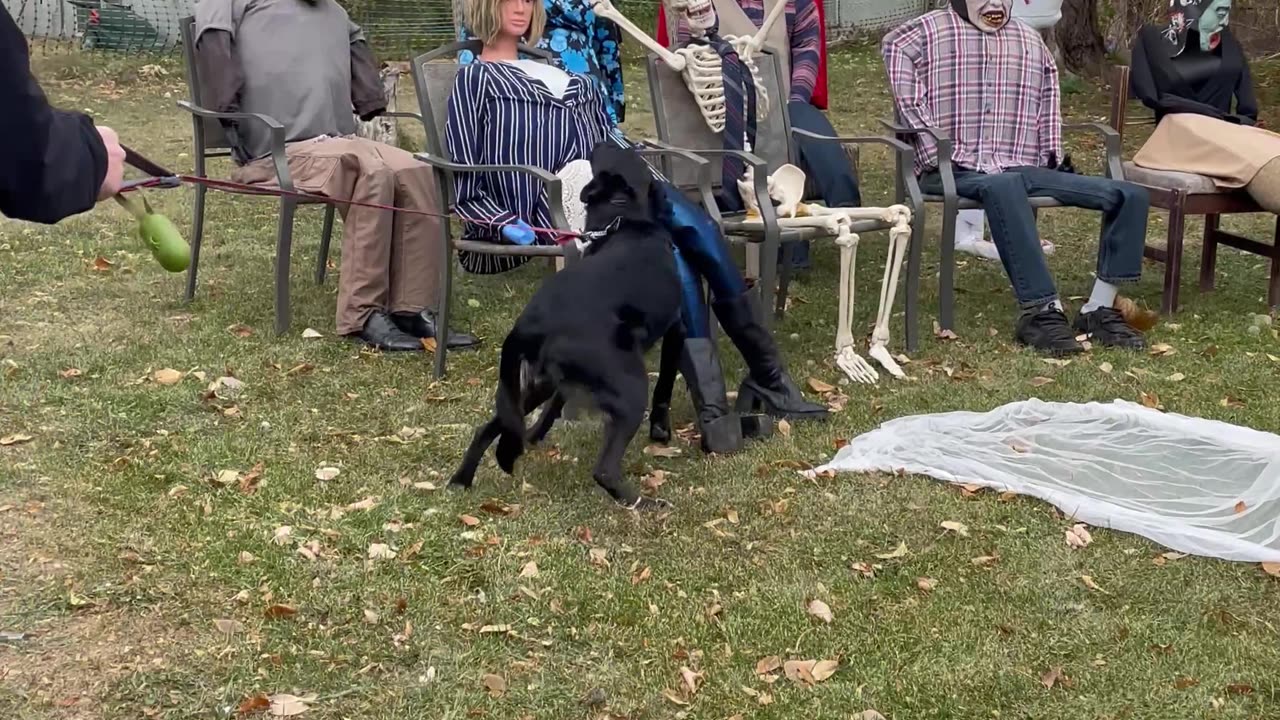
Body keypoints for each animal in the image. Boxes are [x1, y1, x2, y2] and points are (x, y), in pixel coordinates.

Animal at [453, 142, 691, 507]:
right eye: (620, 154)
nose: (605, 141)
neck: (625, 221)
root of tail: (528, 324)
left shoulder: (558, 382)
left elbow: (555, 406)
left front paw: (535, 433)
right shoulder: (676, 328)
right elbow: (665, 384)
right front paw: (661, 429)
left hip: (535, 384)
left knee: (491, 426)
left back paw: (461, 480)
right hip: (630, 389)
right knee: (605, 470)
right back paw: (642, 503)